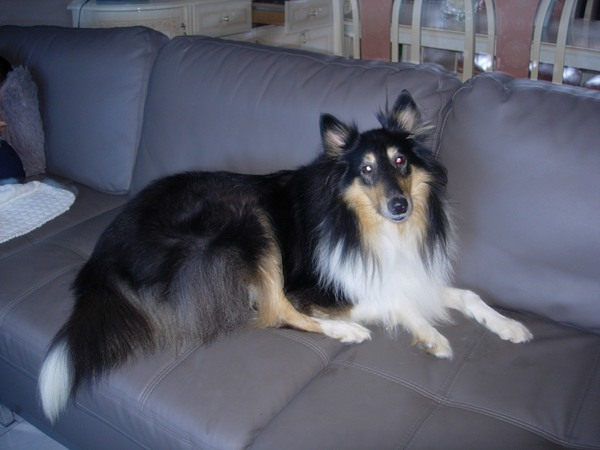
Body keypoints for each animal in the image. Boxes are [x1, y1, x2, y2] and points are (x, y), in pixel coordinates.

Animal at [38, 90, 532, 422]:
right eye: (366, 169)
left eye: (400, 162)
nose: (400, 206)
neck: (372, 229)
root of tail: (105, 249)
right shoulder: (322, 287)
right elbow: (394, 302)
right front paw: (431, 335)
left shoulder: (412, 273)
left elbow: (465, 296)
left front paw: (508, 326)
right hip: (249, 220)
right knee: (275, 310)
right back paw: (346, 331)